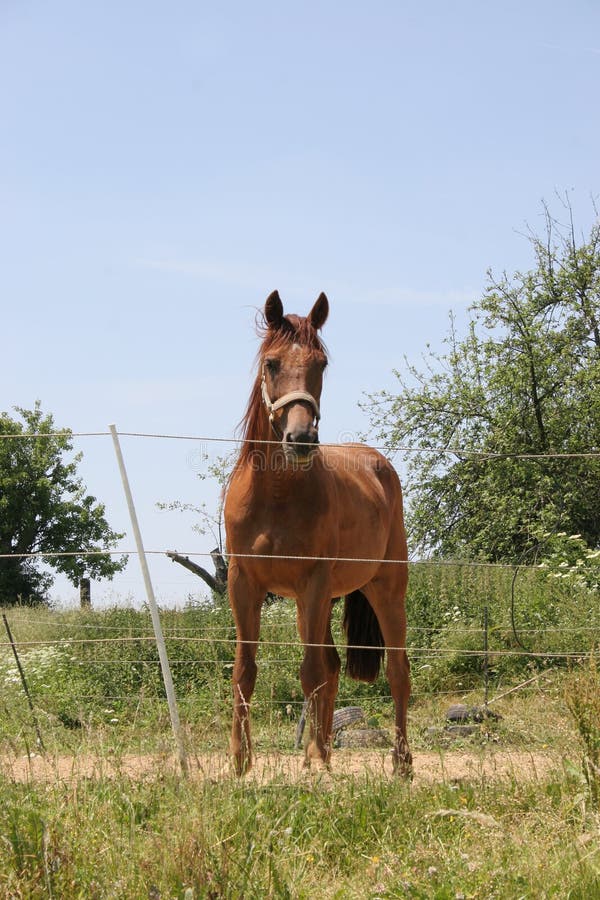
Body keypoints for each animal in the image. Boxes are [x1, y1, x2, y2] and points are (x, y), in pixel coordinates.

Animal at [223, 292, 410, 776]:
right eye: (271, 363)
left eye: (321, 364)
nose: (302, 438)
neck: (274, 495)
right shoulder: (244, 584)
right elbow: (245, 670)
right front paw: (240, 761)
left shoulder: (313, 582)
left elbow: (309, 672)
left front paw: (309, 759)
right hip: (323, 602)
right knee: (333, 664)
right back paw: (322, 754)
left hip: (384, 588)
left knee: (397, 671)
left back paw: (400, 763)